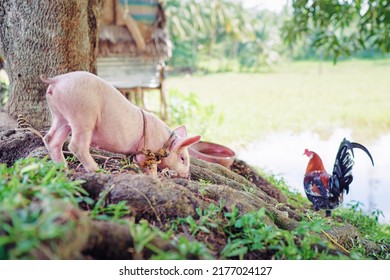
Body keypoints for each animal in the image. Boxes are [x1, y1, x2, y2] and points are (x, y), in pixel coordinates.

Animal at [40, 71, 201, 178]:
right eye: (183, 159)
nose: (187, 176)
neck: (165, 142)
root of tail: (57, 79)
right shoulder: (146, 151)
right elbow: (150, 167)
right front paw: (155, 179)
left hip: (60, 116)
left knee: (50, 139)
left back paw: (63, 169)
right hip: (82, 114)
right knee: (76, 145)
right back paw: (98, 171)